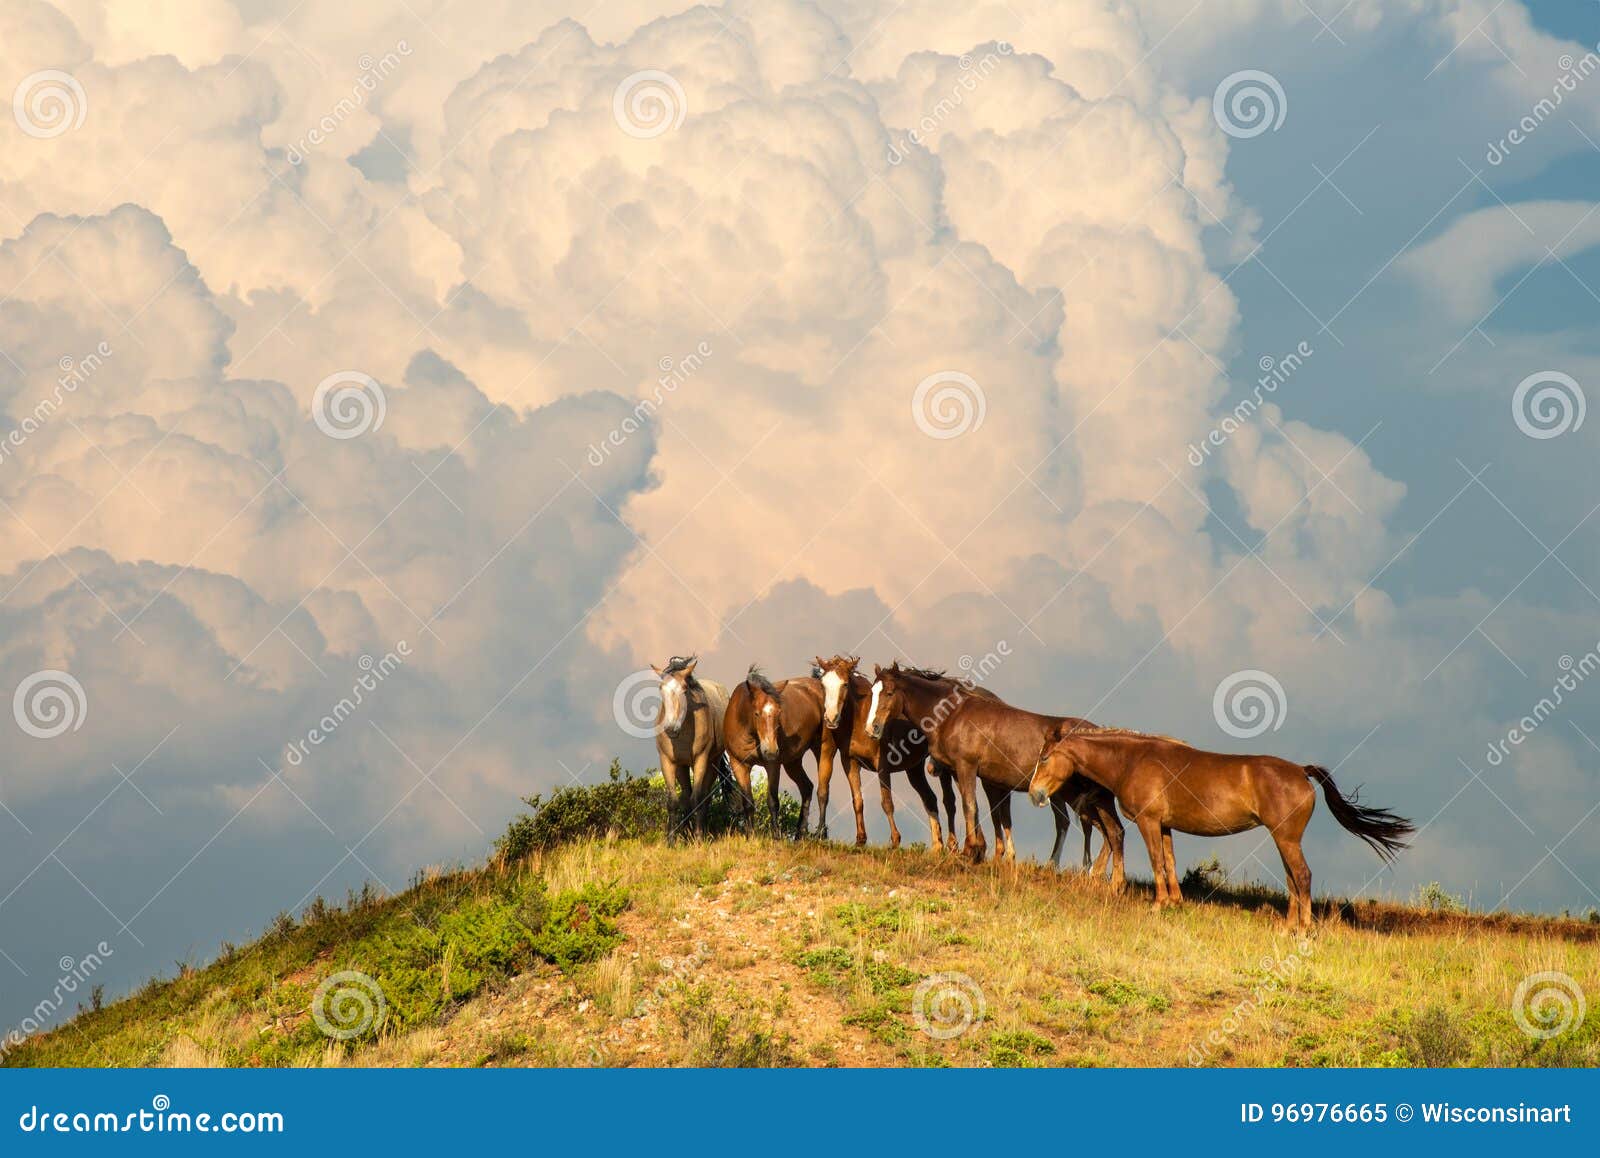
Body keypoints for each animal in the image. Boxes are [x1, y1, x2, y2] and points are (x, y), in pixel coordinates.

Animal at [649, 658, 732, 844]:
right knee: (686, 796)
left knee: (704, 797)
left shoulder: (701, 759)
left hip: (712, 763)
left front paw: (699, 837)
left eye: (684, 689)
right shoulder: (667, 761)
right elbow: (673, 801)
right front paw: (671, 840)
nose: (671, 728)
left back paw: (701, 833)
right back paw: (685, 834)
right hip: (682, 766)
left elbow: (698, 798)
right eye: (661, 688)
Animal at [720, 665, 832, 838]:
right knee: (807, 787)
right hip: (793, 762)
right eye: (757, 713)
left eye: (778, 712)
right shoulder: (738, 764)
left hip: (824, 749)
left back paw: (820, 833)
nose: (771, 751)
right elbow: (747, 801)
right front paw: (750, 835)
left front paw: (776, 836)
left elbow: (772, 800)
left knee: (823, 791)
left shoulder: (772, 765)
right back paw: (800, 833)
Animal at [819, 652, 953, 850]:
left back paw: (953, 845)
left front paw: (895, 840)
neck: (860, 719)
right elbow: (857, 800)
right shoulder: (850, 762)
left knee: (949, 800)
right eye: (823, 684)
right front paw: (860, 840)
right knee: (930, 799)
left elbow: (887, 802)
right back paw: (937, 847)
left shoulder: (883, 764)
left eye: (845, 684)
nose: (831, 718)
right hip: (914, 769)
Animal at [864, 658, 1126, 876]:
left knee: (1103, 829)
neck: (953, 715)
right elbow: (980, 809)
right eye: (872, 693)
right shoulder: (969, 775)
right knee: (1104, 829)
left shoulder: (966, 767)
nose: (872, 728)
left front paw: (970, 851)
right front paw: (979, 851)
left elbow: (969, 806)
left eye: (889, 692)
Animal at [1024, 729, 1414, 927]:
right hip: (1283, 839)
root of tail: (1300, 772)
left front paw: (1158, 905)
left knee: (1302, 876)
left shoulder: (1149, 823)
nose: (1035, 793)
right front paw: (1174, 902)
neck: (1133, 761)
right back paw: (1288, 925)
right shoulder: (1164, 826)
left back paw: (1304, 927)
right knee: (1293, 878)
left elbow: (1156, 862)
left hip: (1287, 838)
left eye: (1044, 757)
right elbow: (1169, 862)